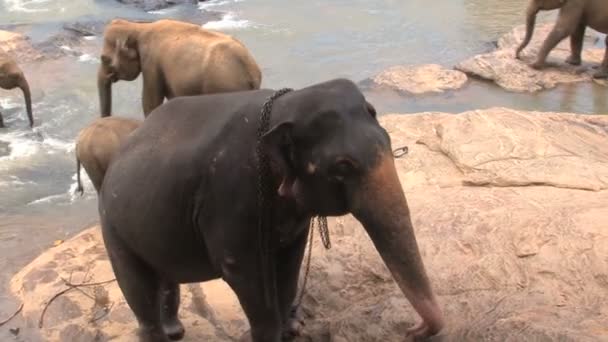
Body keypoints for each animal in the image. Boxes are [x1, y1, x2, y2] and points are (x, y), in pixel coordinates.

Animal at [98, 19, 264, 117]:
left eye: (104, 58)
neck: (138, 27)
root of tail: (251, 72)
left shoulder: (151, 62)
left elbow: (151, 102)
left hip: (223, 87)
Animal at [98, 79, 442, 342]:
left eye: (389, 142)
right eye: (343, 166)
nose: (412, 329)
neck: (285, 105)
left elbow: (289, 261)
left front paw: (291, 328)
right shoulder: (231, 192)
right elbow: (241, 270)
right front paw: (270, 334)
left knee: (165, 277)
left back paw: (175, 331)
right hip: (112, 225)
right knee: (138, 288)